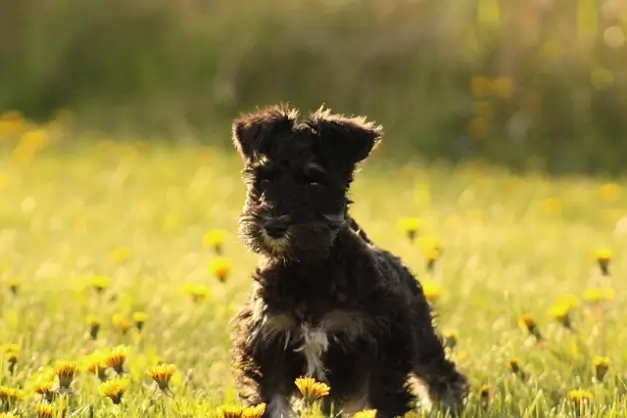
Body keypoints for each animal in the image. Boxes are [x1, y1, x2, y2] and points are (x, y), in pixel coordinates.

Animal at [229, 104, 466, 418]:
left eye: (314, 181)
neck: (307, 270)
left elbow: (372, 405)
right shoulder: (270, 345)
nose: (274, 226)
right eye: (264, 178)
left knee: (441, 375)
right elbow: (274, 404)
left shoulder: (376, 353)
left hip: (422, 338)